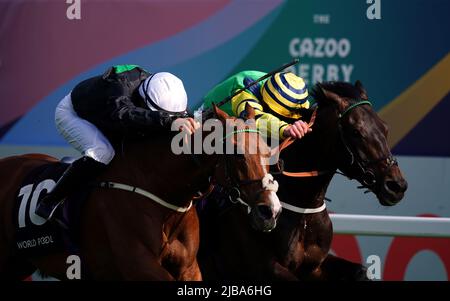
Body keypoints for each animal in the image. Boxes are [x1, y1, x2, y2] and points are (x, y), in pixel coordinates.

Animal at [197, 79, 408, 278]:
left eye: (385, 128)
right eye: (356, 131)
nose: (396, 186)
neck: (303, 210)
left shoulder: (315, 266)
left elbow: (361, 271)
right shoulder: (261, 266)